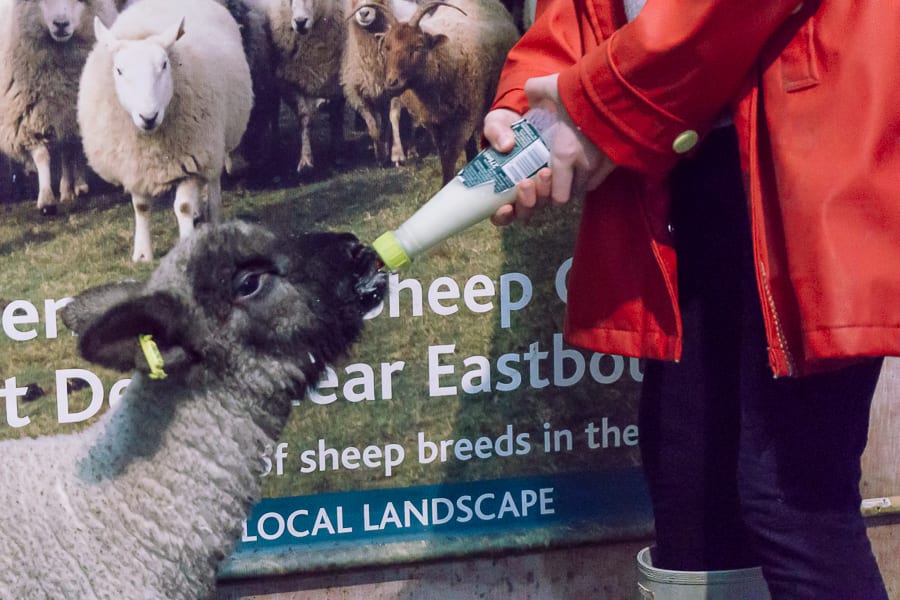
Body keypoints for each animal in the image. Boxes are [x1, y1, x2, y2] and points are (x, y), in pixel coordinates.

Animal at [0, 0, 118, 214]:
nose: (61, 24)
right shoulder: (28, 117)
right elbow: (41, 155)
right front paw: (46, 200)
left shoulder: (71, 112)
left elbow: (71, 149)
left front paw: (71, 186)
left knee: (69, 149)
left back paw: (75, 186)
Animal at [78, 0, 253, 262]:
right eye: (119, 70)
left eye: (164, 65)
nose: (148, 117)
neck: (152, 145)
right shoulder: (135, 166)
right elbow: (141, 207)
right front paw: (142, 254)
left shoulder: (195, 158)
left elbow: (183, 206)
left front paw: (188, 243)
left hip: (214, 144)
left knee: (212, 182)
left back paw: (213, 217)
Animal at [364, 0, 520, 183]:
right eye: (387, 47)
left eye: (418, 47)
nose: (391, 83)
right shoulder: (433, 121)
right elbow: (443, 153)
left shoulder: (466, 116)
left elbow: (450, 154)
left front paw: (447, 182)